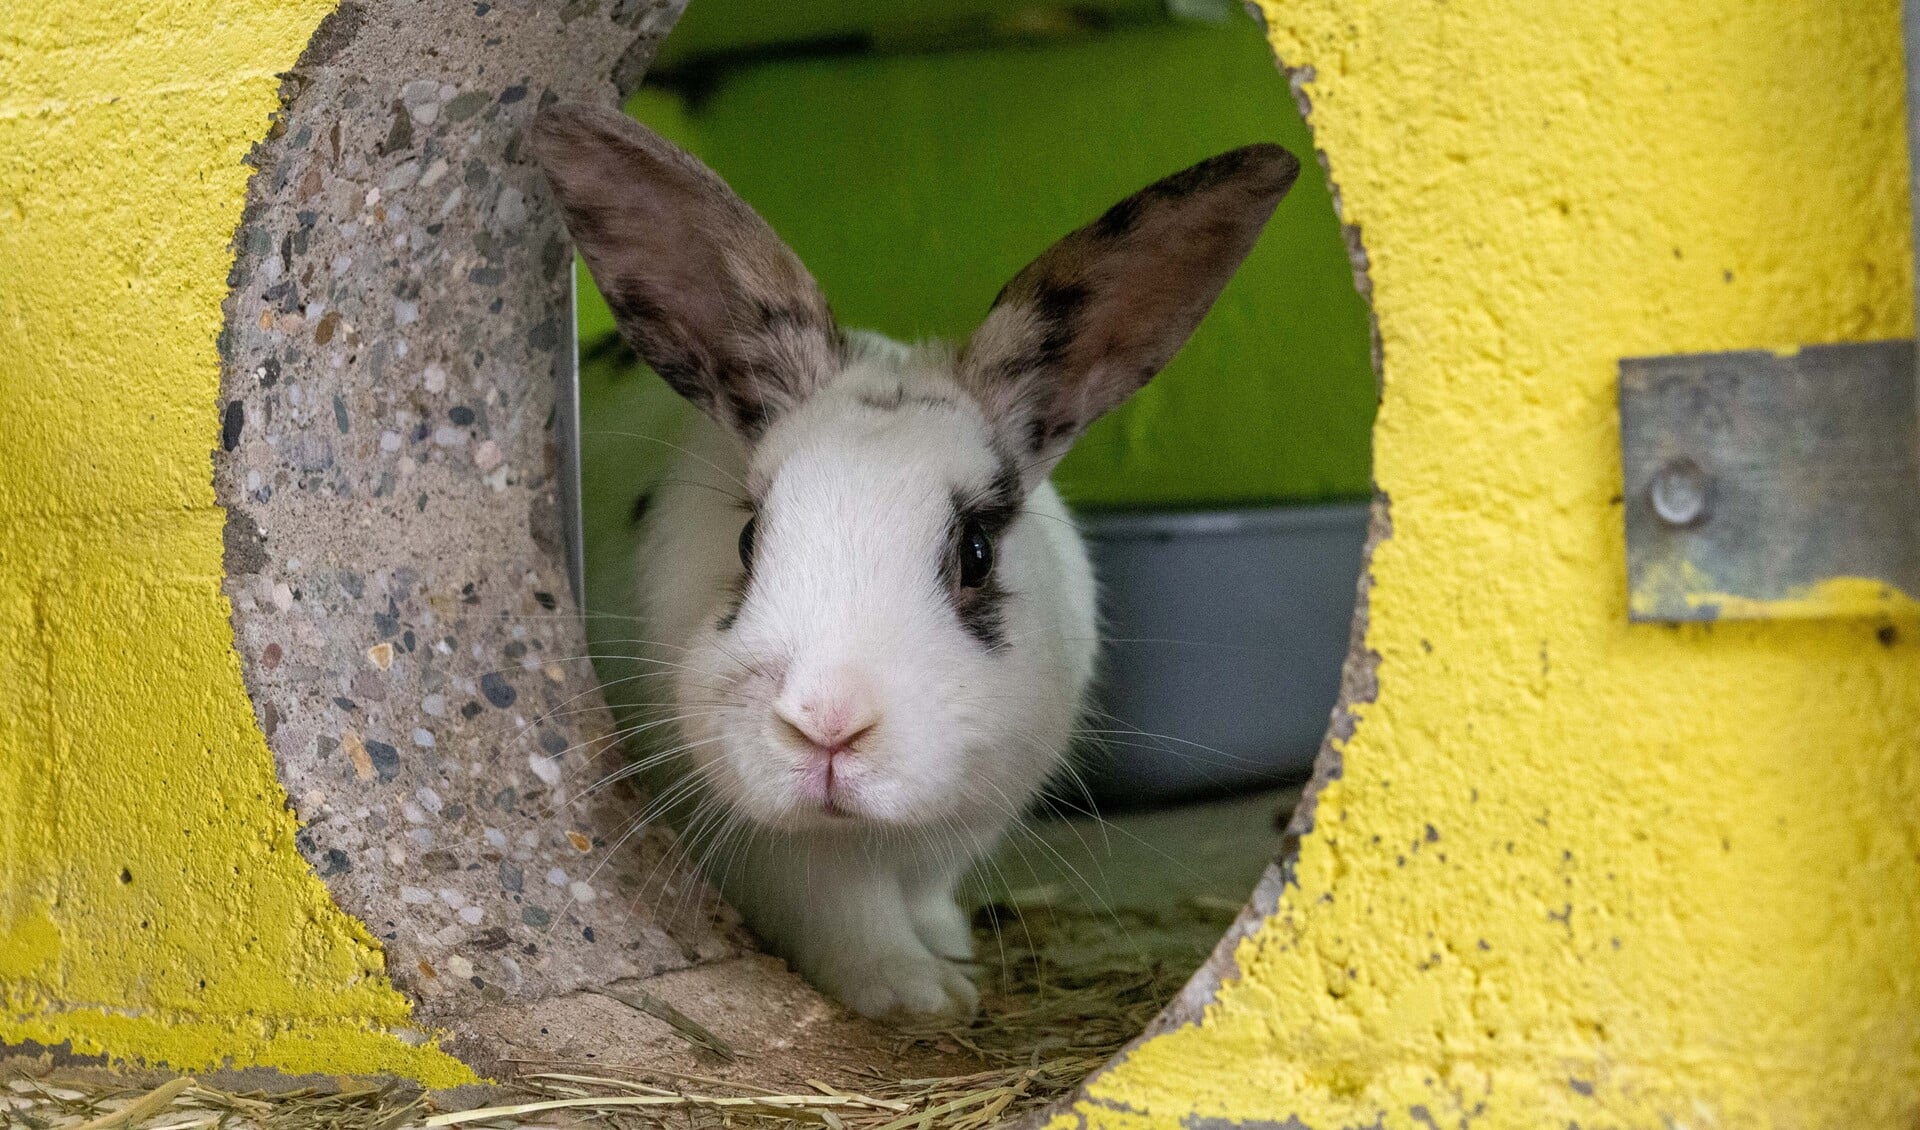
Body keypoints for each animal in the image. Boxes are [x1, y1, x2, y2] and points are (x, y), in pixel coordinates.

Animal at [533, 105, 1297, 1020]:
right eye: (750, 538)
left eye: (975, 551)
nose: (827, 723)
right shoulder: (789, 860)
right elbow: (845, 914)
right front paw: (920, 994)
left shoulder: (962, 829)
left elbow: (927, 894)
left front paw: (952, 955)